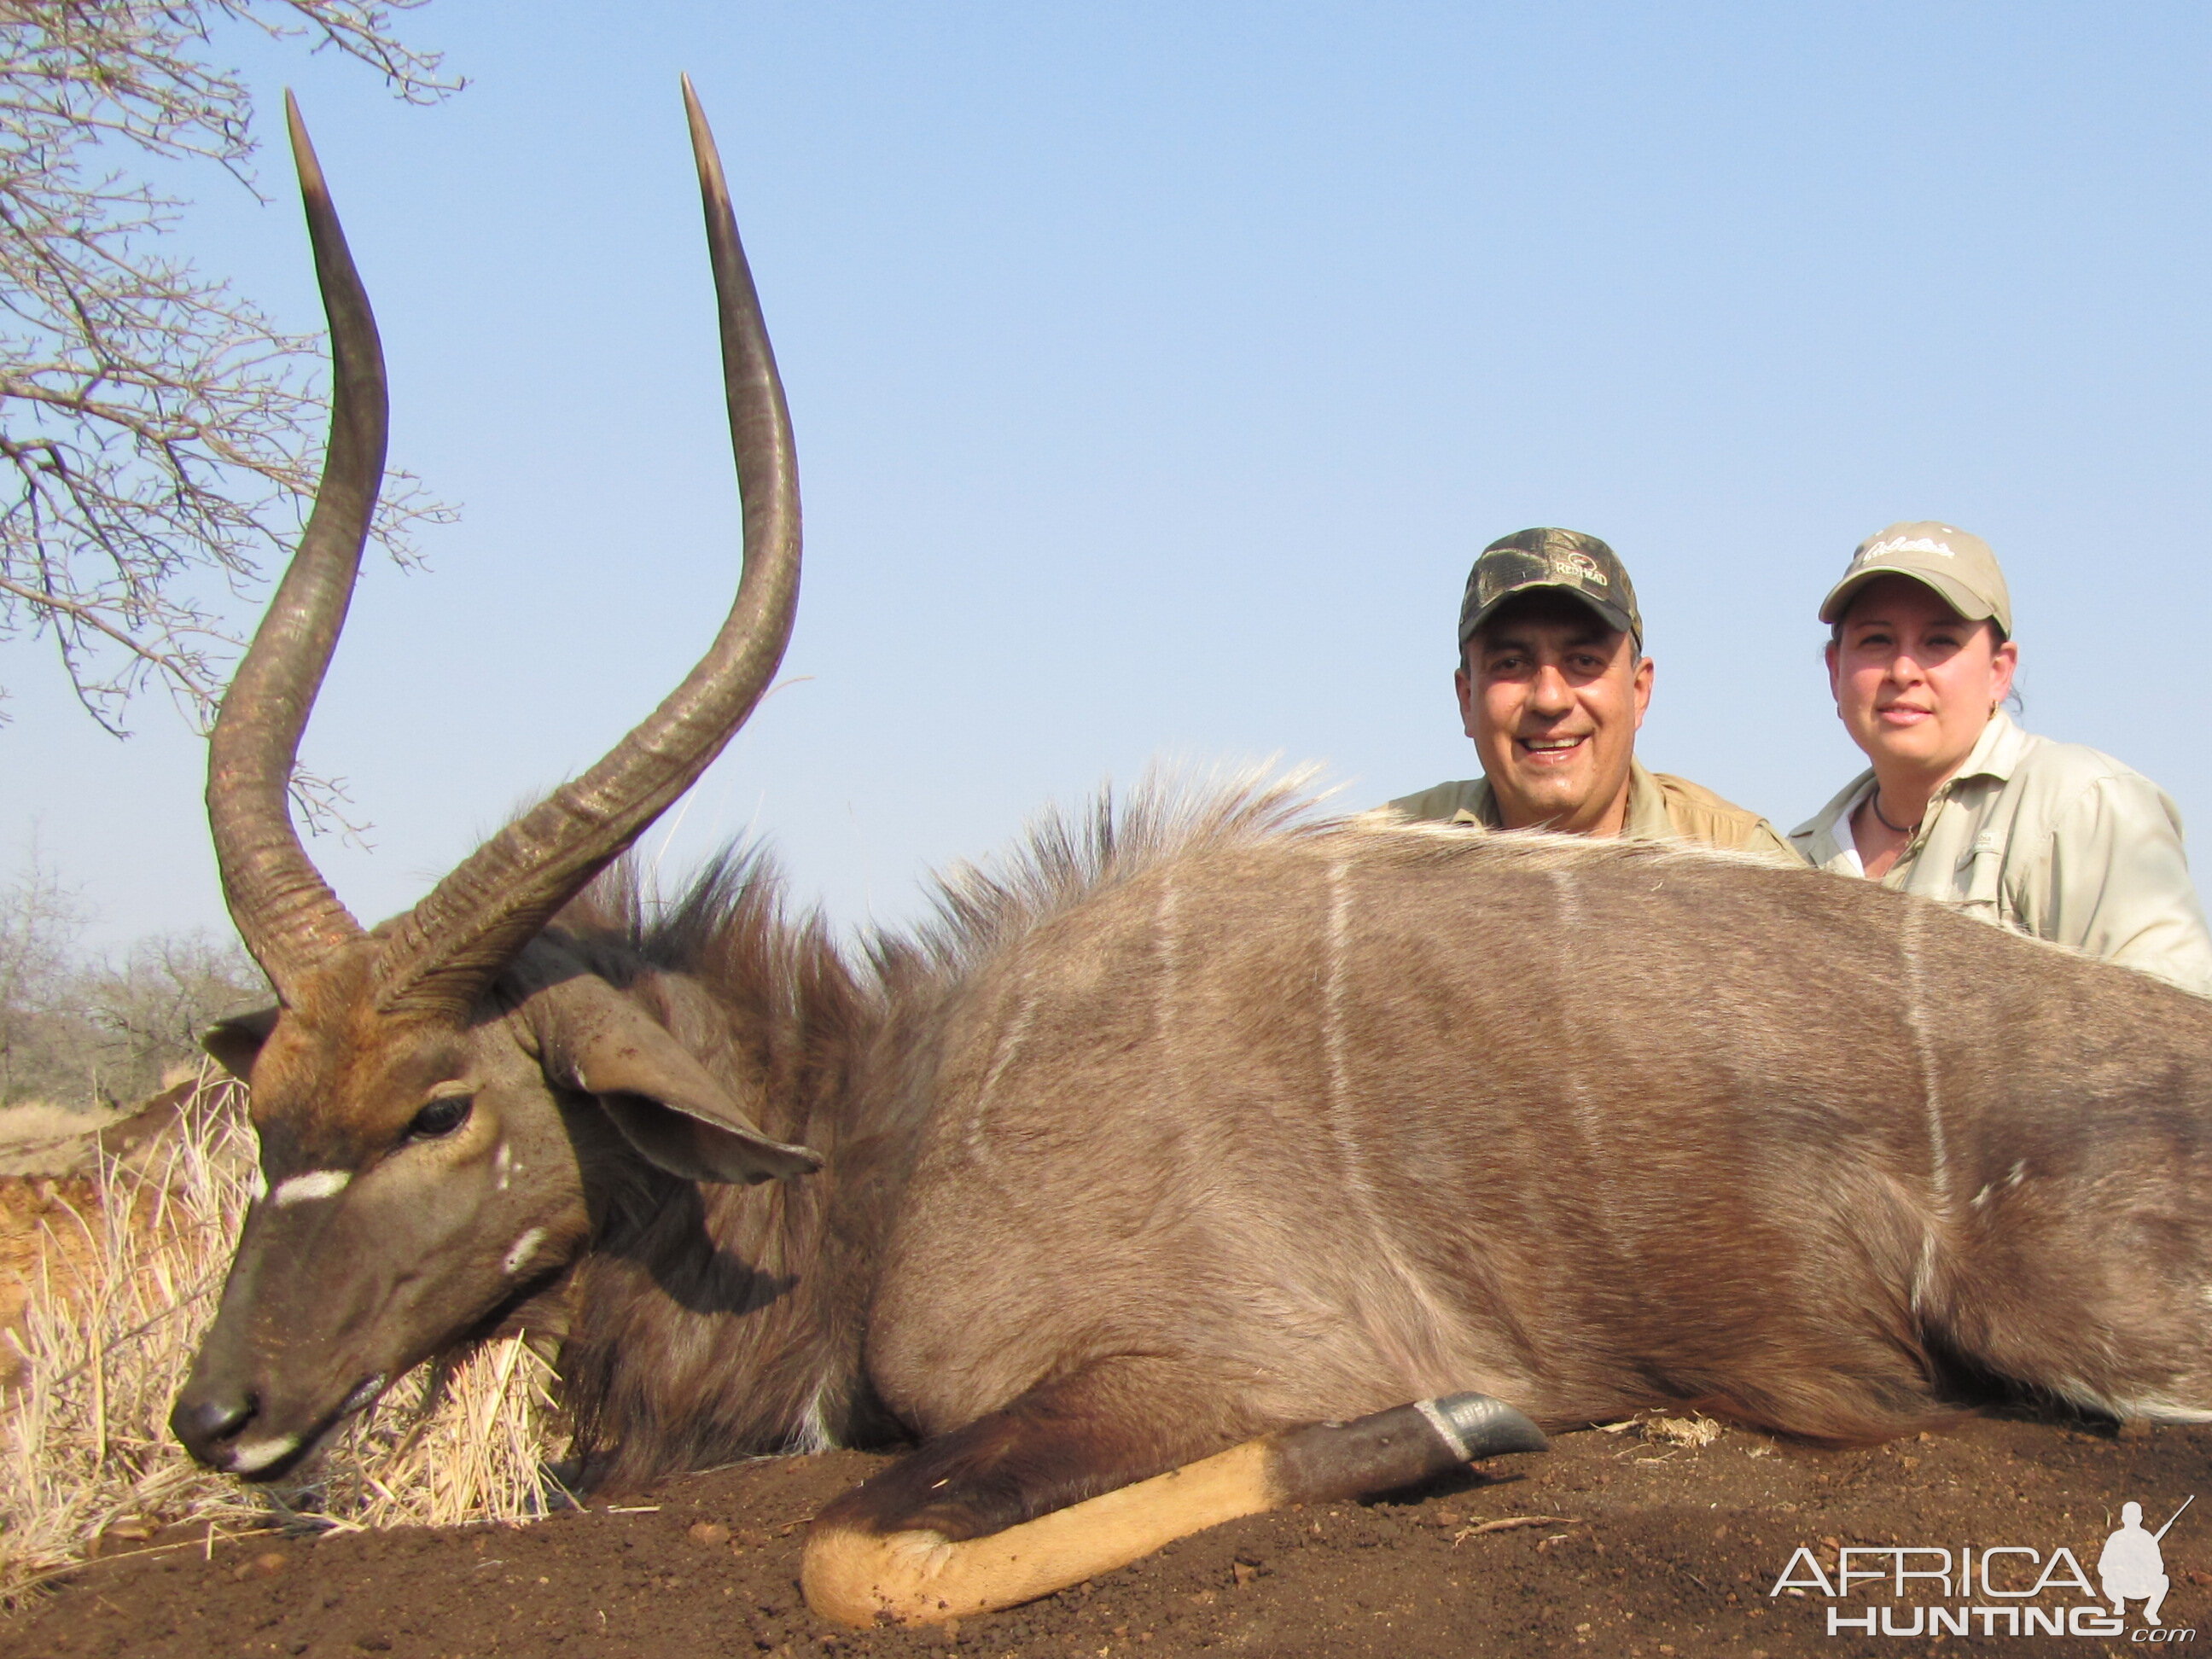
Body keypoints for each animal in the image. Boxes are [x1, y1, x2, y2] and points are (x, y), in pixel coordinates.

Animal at [181, 84, 2212, 1627]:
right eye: (269, 1106)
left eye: (442, 1105)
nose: (219, 1411)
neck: (890, 1121)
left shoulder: (1185, 1370)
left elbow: (853, 1550)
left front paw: (1453, 1427)